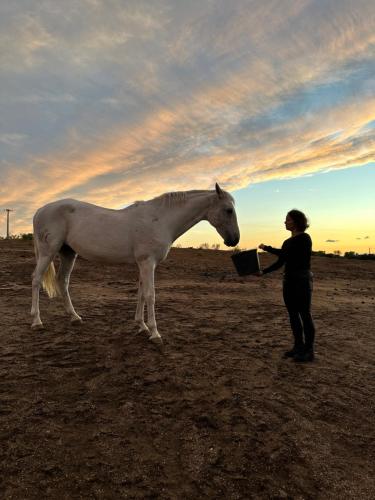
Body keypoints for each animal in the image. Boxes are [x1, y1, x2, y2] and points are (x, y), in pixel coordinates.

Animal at [30, 184, 241, 344]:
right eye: (229, 210)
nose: (234, 240)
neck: (161, 220)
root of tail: (40, 210)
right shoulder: (148, 263)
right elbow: (150, 295)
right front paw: (155, 333)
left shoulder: (143, 264)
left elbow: (140, 293)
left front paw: (142, 326)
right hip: (48, 252)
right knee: (36, 280)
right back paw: (37, 321)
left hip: (68, 253)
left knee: (62, 281)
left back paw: (75, 317)